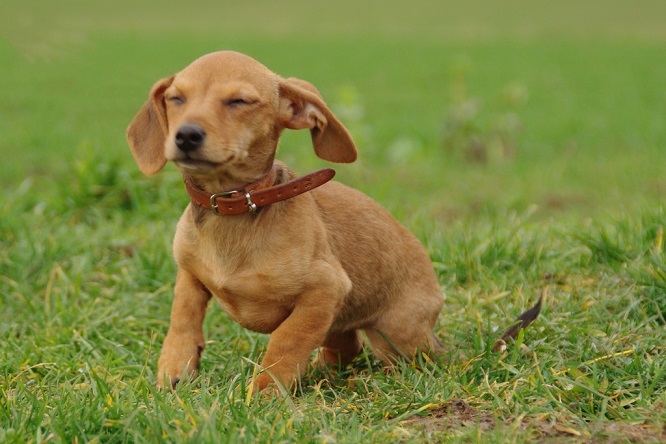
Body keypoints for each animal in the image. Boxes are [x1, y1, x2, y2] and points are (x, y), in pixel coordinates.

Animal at [126, 50, 446, 392]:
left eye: (239, 101)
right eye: (176, 98)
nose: (186, 135)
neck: (233, 207)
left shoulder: (326, 289)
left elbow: (287, 340)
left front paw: (265, 391)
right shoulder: (189, 271)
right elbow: (183, 313)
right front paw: (175, 365)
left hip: (392, 336)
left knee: (405, 358)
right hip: (338, 324)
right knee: (347, 347)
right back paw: (322, 373)